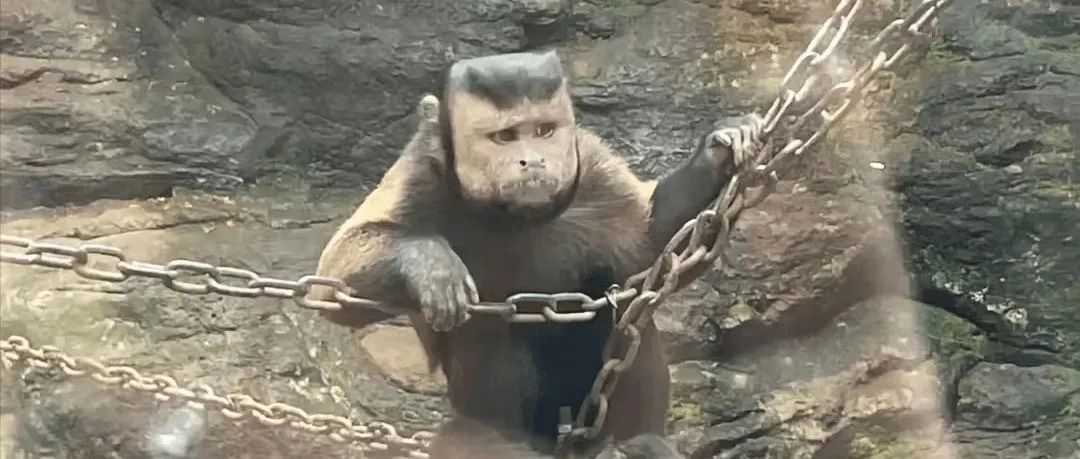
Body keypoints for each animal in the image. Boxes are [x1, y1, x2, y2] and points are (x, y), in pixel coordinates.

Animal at [311, 49, 761, 458]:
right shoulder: (420, 170)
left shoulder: (592, 167)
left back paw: (637, 444)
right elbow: (333, 291)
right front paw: (430, 265)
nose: (533, 161)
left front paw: (715, 155)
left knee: (621, 310)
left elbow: (652, 253)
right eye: (507, 137)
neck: (509, 215)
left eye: (543, 131)